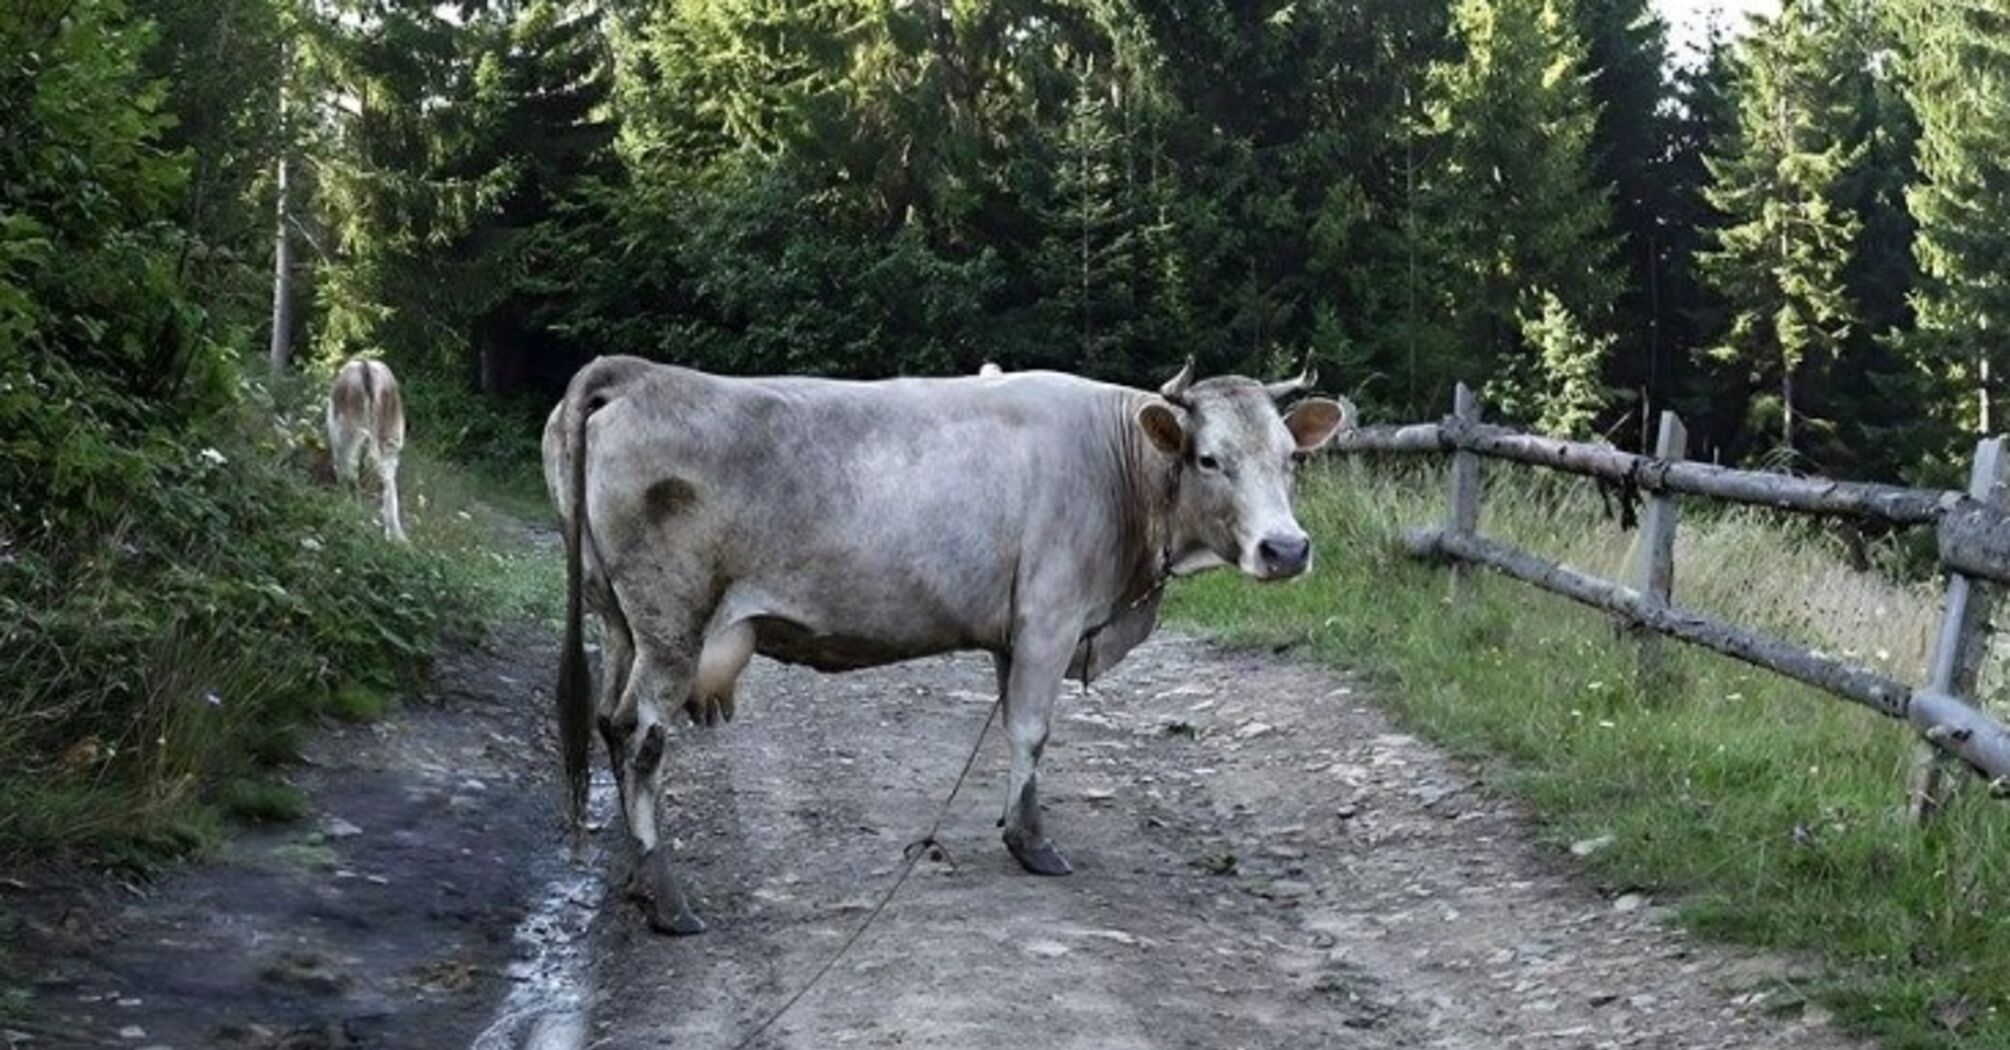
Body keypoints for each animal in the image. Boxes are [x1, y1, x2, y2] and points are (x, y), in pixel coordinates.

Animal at [329, 358, 408, 539]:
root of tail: (366, 365)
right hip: (391, 436)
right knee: (387, 477)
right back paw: (396, 535)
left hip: (348, 429)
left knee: (350, 466)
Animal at [546, 356, 1350, 929]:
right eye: (1210, 458)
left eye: (1290, 457)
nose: (1286, 549)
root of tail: (633, 374)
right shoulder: (1050, 619)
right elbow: (1031, 729)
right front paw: (1032, 844)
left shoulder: (1013, 632)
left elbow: (1011, 726)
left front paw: (1014, 823)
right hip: (670, 626)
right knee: (643, 741)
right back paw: (668, 899)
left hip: (620, 622)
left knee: (611, 725)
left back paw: (635, 878)